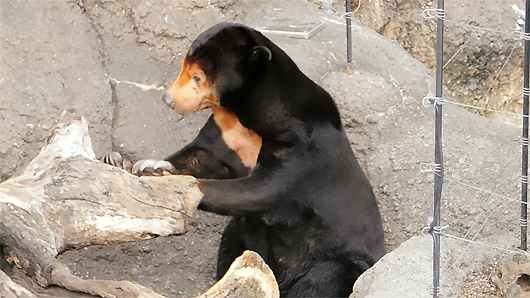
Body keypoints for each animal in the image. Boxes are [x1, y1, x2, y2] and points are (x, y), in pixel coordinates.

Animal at [128, 22, 386, 296]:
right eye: (182, 68)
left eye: (197, 76)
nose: (169, 100)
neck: (244, 116)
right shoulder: (225, 132)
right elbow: (205, 155)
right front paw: (149, 166)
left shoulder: (301, 149)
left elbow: (260, 190)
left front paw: (169, 183)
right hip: (241, 237)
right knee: (231, 244)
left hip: (341, 260)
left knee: (322, 280)